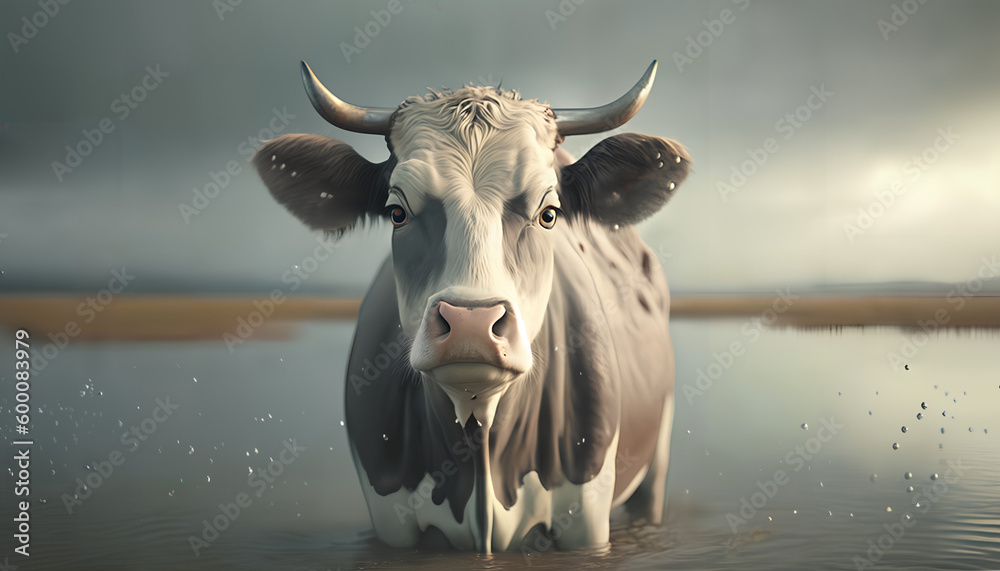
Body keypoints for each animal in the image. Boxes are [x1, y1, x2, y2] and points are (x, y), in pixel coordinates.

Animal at [252, 60, 690, 553]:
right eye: (397, 212)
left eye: (549, 213)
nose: (471, 325)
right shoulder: (390, 522)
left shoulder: (587, 516)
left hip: (657, 456)